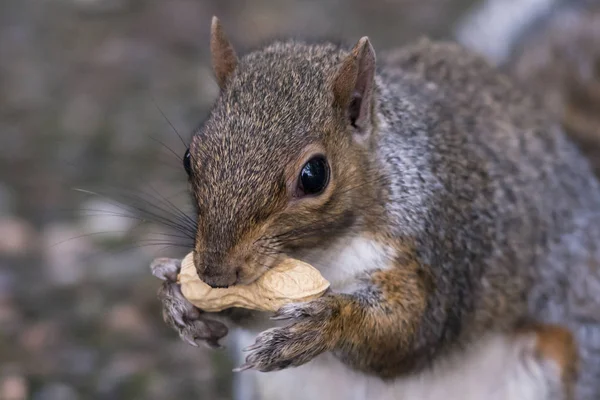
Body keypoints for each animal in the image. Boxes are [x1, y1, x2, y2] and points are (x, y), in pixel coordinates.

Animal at [150, 16, 600, 400]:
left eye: (314, 175)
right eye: (190, 157)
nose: (214, 273)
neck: (321, 253)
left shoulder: (441, 240)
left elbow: (411, 331)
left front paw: (328, 322)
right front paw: (177, 295)